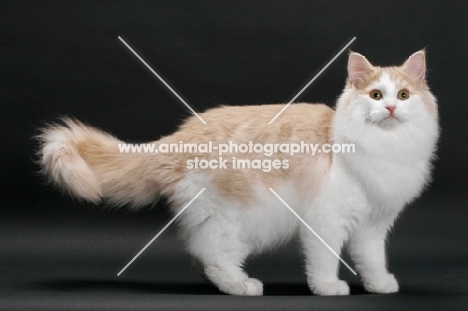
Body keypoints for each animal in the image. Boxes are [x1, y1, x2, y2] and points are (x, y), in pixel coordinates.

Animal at [37, 50, 438, 298]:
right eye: (375, 95)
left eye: (403, 95)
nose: (390, 108)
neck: (384, 148)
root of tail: (178, 137)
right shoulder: (325, 220)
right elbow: (324, 261)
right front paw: (328, 288)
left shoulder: (373, 224)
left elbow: (372, 259)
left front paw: (380, 284)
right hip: (235, 219)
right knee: (211, 254)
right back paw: (241, 285)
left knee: (199, 254)